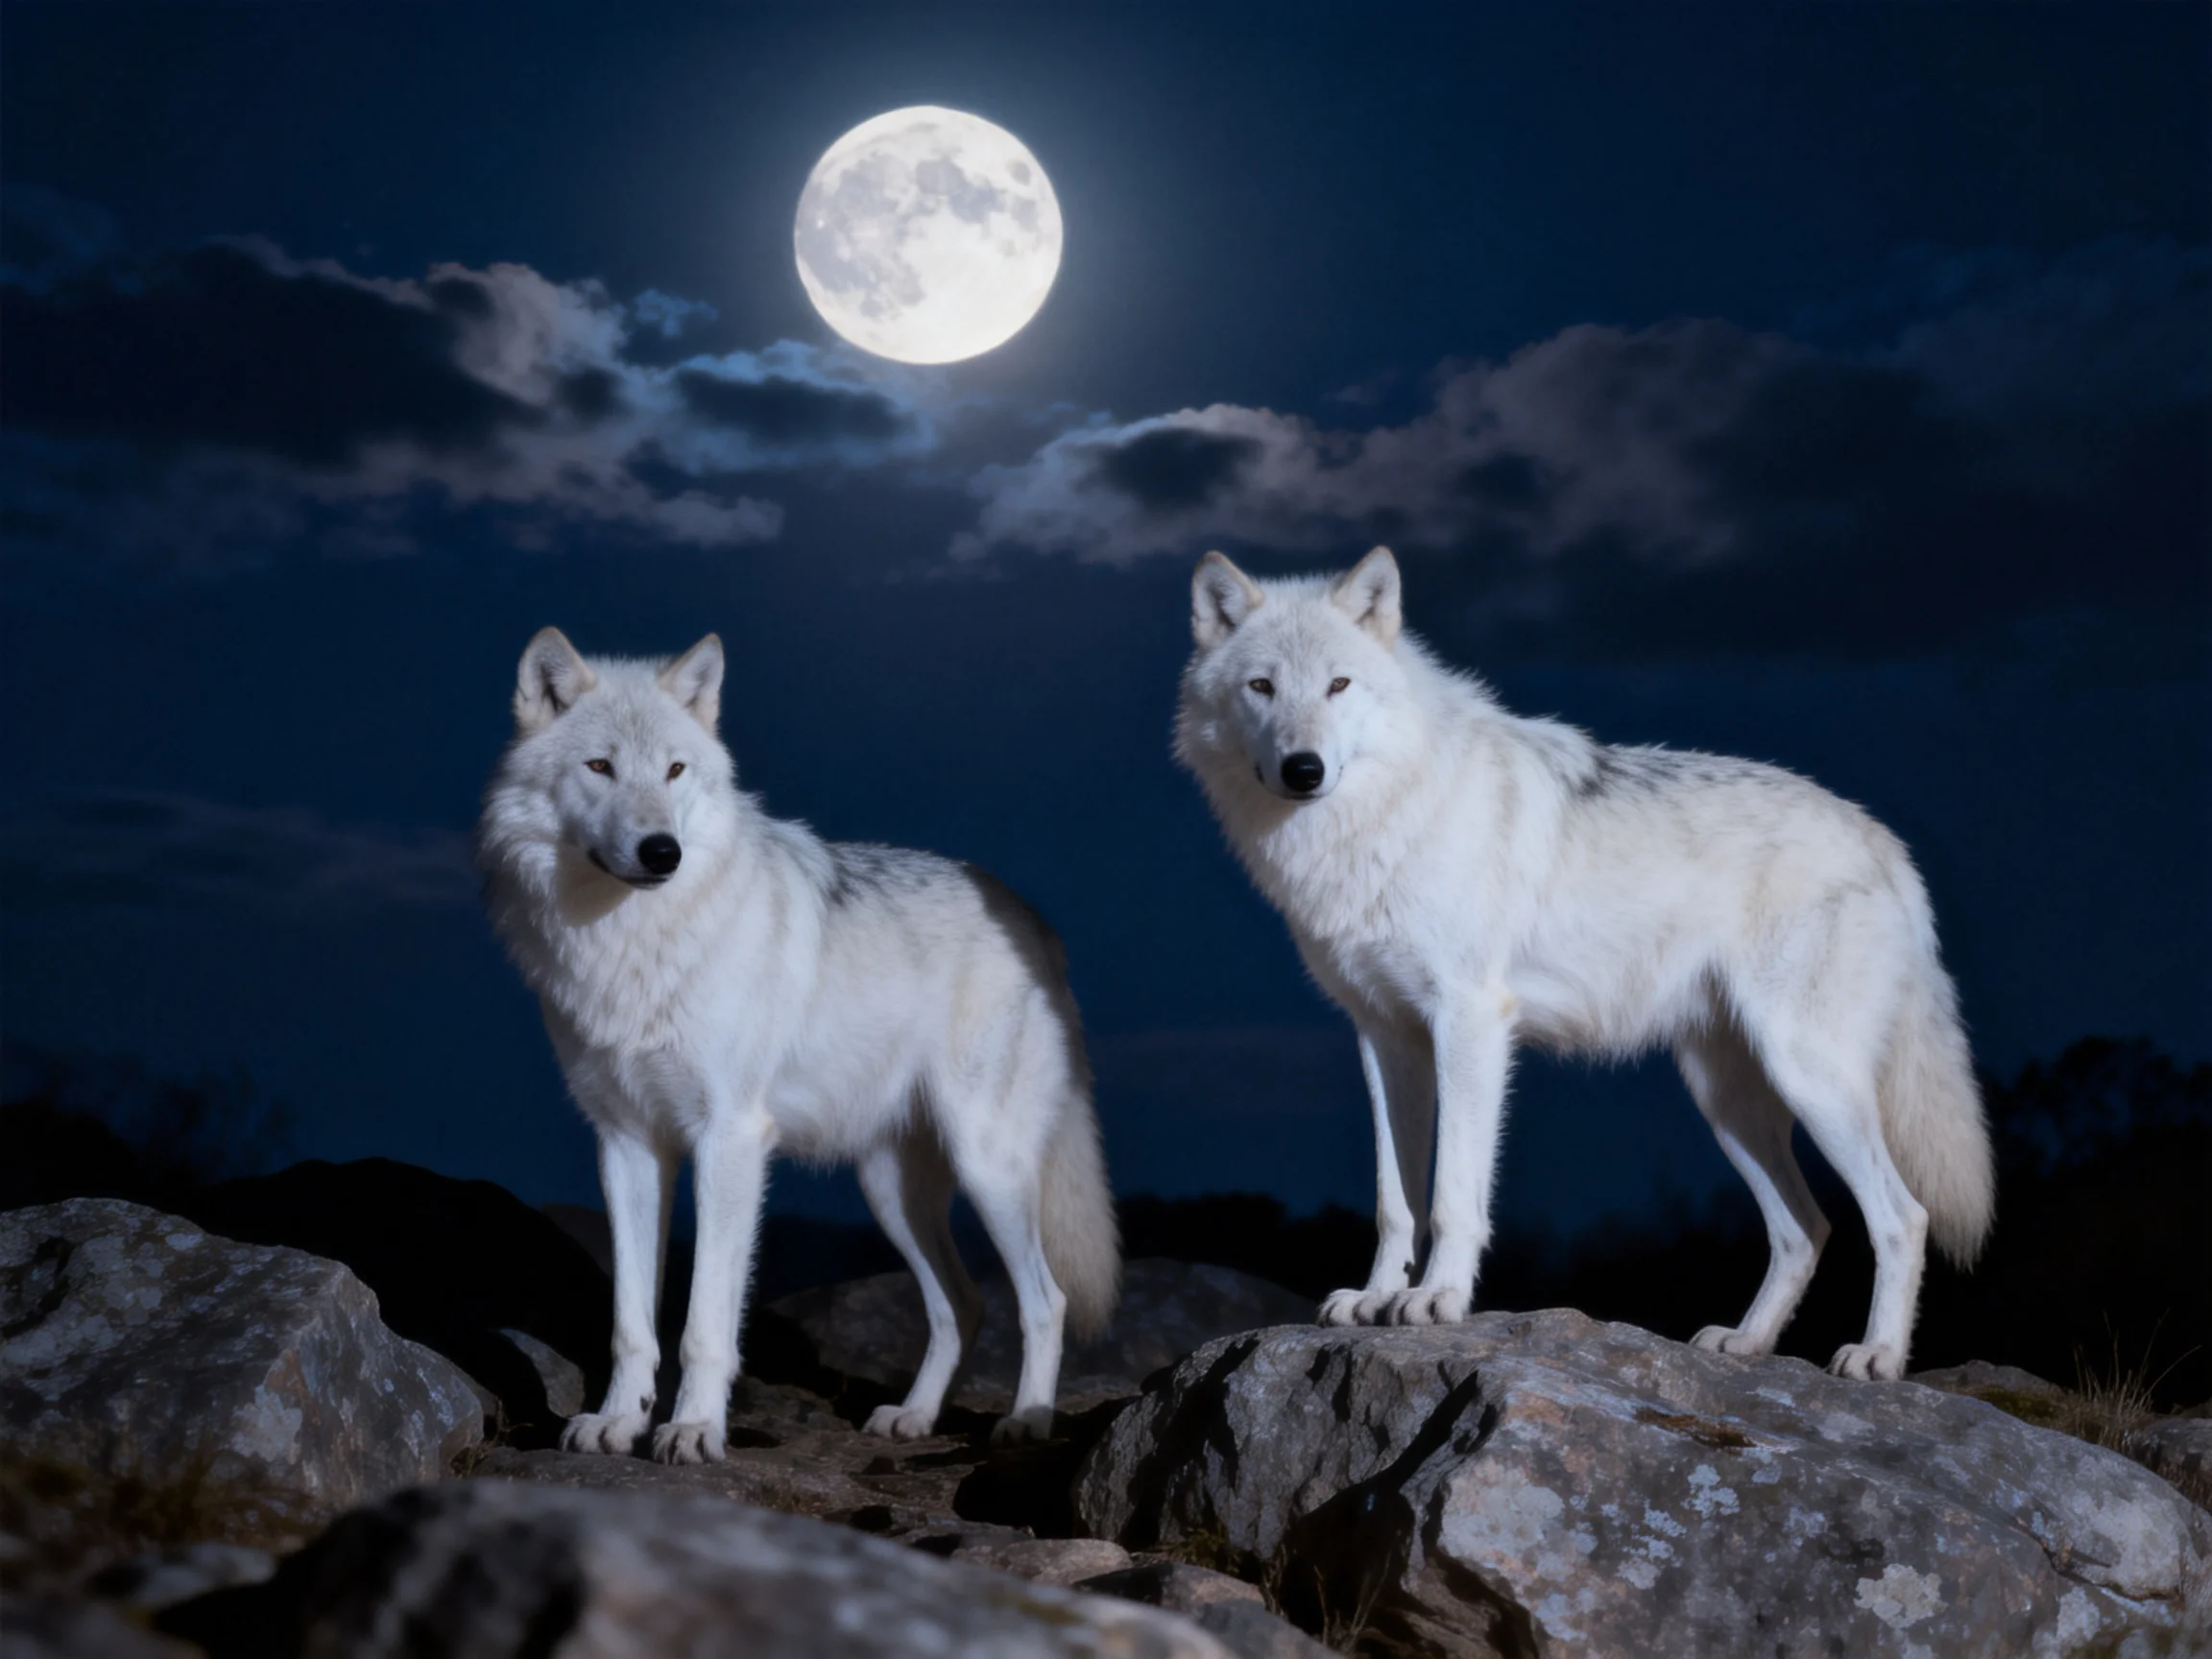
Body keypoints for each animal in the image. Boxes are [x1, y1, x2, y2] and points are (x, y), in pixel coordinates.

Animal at [477, 628, 1119, 1461]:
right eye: (600, 767)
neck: (633, 941)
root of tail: (1034, 921)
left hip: (989, 1167)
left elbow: (704, 1324)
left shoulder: (729, 1139)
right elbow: (631, 1325)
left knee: (1045, 1299)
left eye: (675, 770)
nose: (661, 852)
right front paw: (619, 1421)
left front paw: (693, 1430)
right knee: (962, 1304)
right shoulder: (627, 1145)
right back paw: (913, 1417)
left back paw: (1027, 1421)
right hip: (890, 1190)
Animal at [1175, 547, 1993, 1379]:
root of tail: (1888, 846)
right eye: (1262, 687)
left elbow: (1452, 1194)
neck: (1382, 813)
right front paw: (1374, 1300)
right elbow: (1394, 1199)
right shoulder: (1383, 1036)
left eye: (1339, 685)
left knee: (1902, 1216)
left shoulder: (1470, 1021)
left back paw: (1877, 1357)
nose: (1303, 769)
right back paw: (1746, 1344)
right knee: (1806, 1229)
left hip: (1810, 1077)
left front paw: (1435, 1302)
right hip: (1728, 1101)